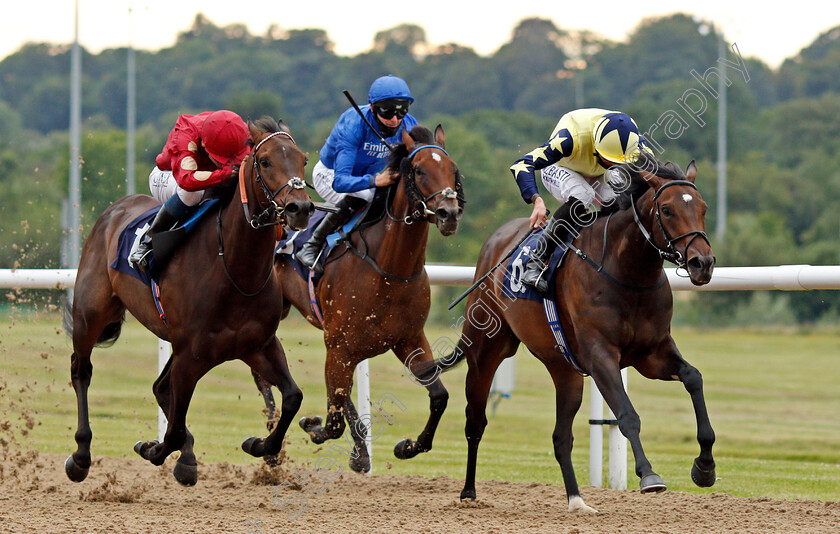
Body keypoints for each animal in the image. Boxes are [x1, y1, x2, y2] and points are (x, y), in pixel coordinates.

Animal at [61, 119, 312, 488]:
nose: (300, 208)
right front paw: (153, 449)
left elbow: (293, 397)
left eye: (303, 159)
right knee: (82, 371)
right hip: (90, 314)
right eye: (265, 161)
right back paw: (81, 455)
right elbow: (175, 429)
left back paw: (187, 458)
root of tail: (115, 209)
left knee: (160, 387)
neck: (235, 269)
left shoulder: (258, 346)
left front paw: (259, 445)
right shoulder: (191, 355)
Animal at [270, 124, 462, 474]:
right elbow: (332, 422)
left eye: (452, 169)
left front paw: (407, 446)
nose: (449, 213)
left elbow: (439, 396)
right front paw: (313, 426)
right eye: (418, 170)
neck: (390, 269)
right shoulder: (340, 346)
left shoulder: (409, 339)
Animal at [420, 156, 716, 516]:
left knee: (561, 438)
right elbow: (627, 415)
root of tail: (495, 243)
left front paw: (704, 467)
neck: (627, 272)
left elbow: (694, 377)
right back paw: (468, 492)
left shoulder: (653, 353)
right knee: (475, 421)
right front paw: (649, 475)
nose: (703, 263)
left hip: (565, 370)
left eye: (702, 207)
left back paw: (577, 500)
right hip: (486, 351)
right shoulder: (601, 356)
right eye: (669, 210)